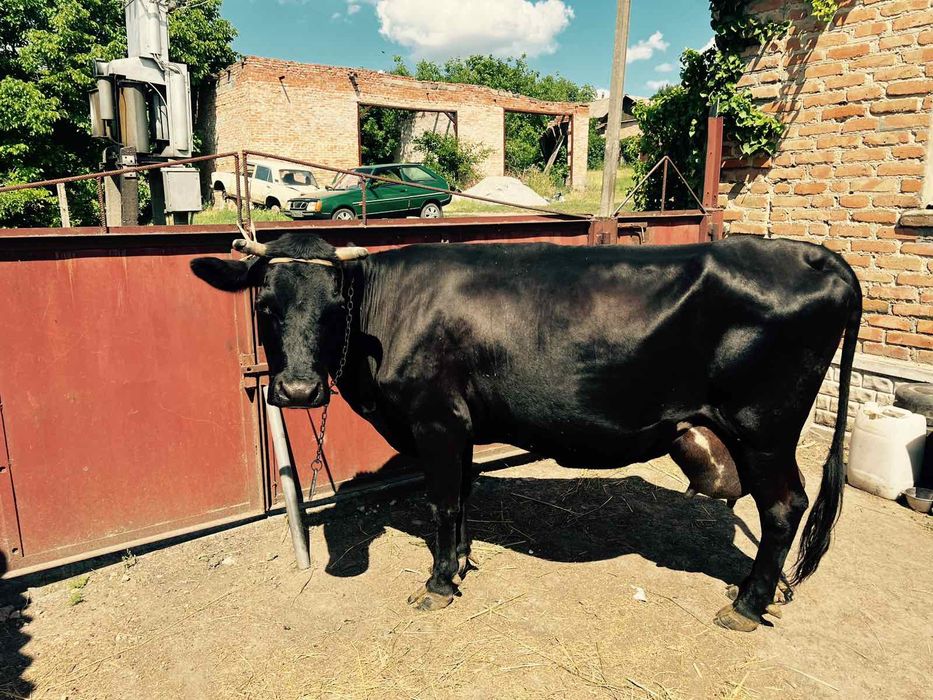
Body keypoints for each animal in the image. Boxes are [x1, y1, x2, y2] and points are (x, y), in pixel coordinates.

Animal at [191, 232, 861, 632]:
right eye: (265, 306)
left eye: (336, 307)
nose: (298, 391)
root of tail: (810, 253)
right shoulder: (458, 424)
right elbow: (462, 495)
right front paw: (461, 561)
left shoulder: (435, 418)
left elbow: (441, 500)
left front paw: (438, 582)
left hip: (763, 430)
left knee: (784, 507)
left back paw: (746, 604)